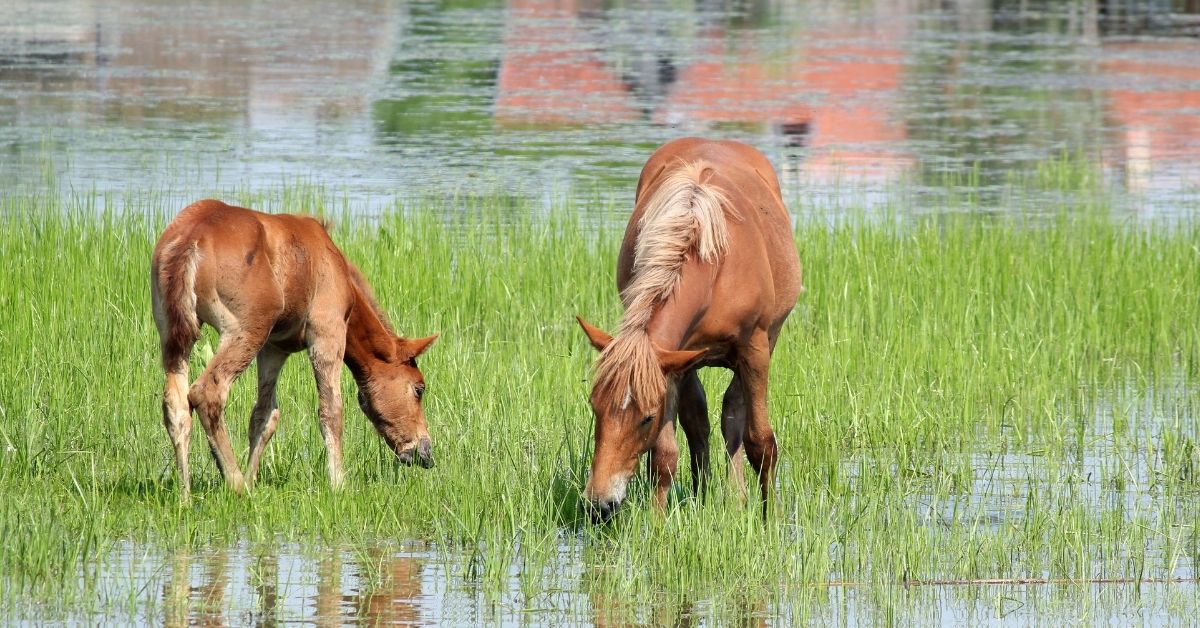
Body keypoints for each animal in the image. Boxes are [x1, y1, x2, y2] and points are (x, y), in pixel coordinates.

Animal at [150, 199, 439, 499]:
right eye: (419, 388)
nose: (425, 452)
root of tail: (191, 239)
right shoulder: (327, 331)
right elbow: (331, 409)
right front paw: (338, 484)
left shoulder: (274, 348)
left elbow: (265, 415)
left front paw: (254, 479)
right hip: (244, 331)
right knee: (207, 392)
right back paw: (235, 483)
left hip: (174, 334)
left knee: (176, 404)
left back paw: (186, 495)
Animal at [576, 137, 801, 521]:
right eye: (595, 407)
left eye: (646, 418)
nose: (600, 505)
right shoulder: (672, 361)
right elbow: (664, 457)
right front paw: (657, 524)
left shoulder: (754, 350)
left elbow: (761, 441)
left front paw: (770, 519)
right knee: (701, 420)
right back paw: (706, 494)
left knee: (733, 413)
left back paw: (738, 498)